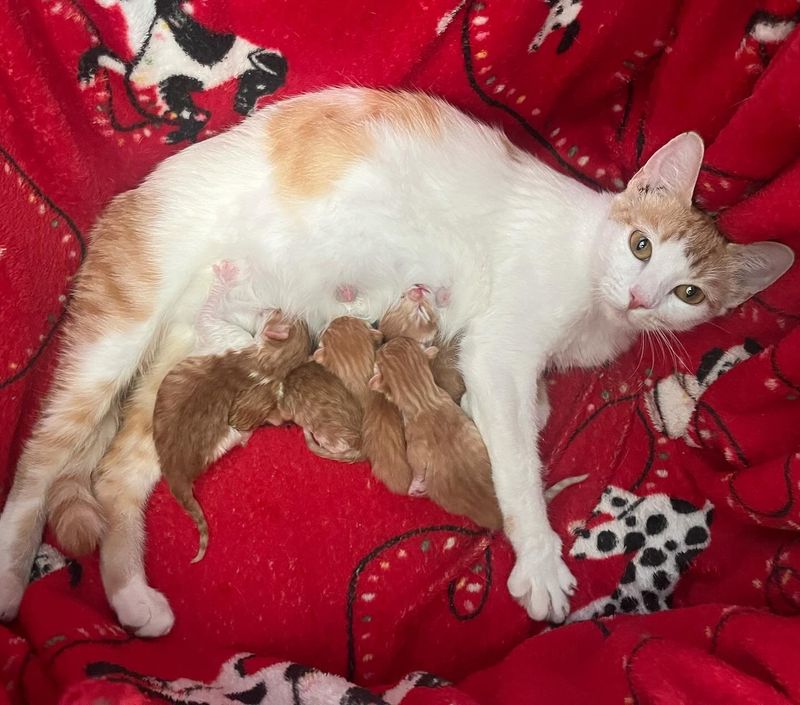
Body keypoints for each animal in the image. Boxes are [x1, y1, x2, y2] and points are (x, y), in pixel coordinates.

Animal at [0, 85, 792, 636]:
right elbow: (519, 461)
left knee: (117, 472)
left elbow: (518, 408)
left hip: (214, 371)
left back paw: (133, 596)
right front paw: (539, 558)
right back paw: (12, 580)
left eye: (688, 292)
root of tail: (135, 195)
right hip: (119, 331)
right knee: (38, 468)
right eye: (641, 246)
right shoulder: (503, 348)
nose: (639, 297)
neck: (589, 271)